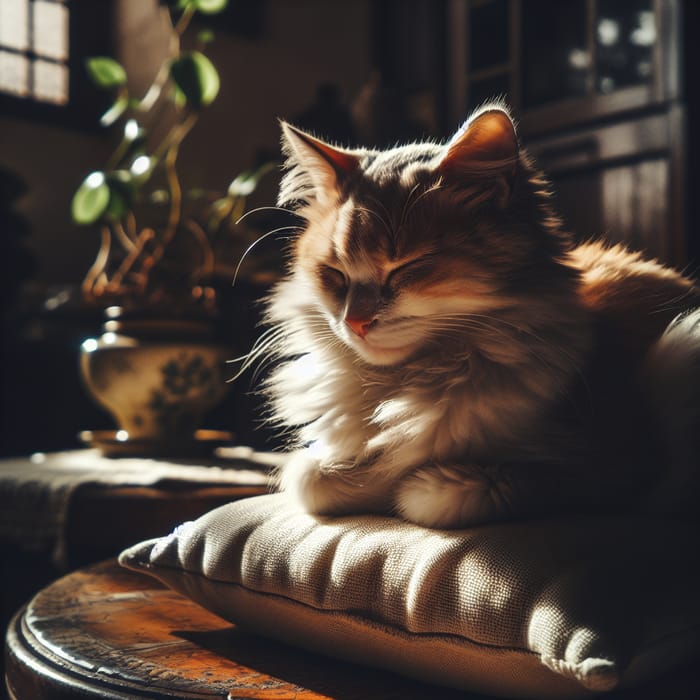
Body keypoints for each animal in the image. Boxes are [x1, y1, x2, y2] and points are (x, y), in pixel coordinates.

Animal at [247, 104, 700, 528]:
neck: (403, 384)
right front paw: (368, 478)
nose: (355, 323)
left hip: (680, 346)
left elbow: (435, 494)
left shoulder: (614, 465)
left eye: (406, 267)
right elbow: (310, 477)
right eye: (335, 274)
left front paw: (406, 484)